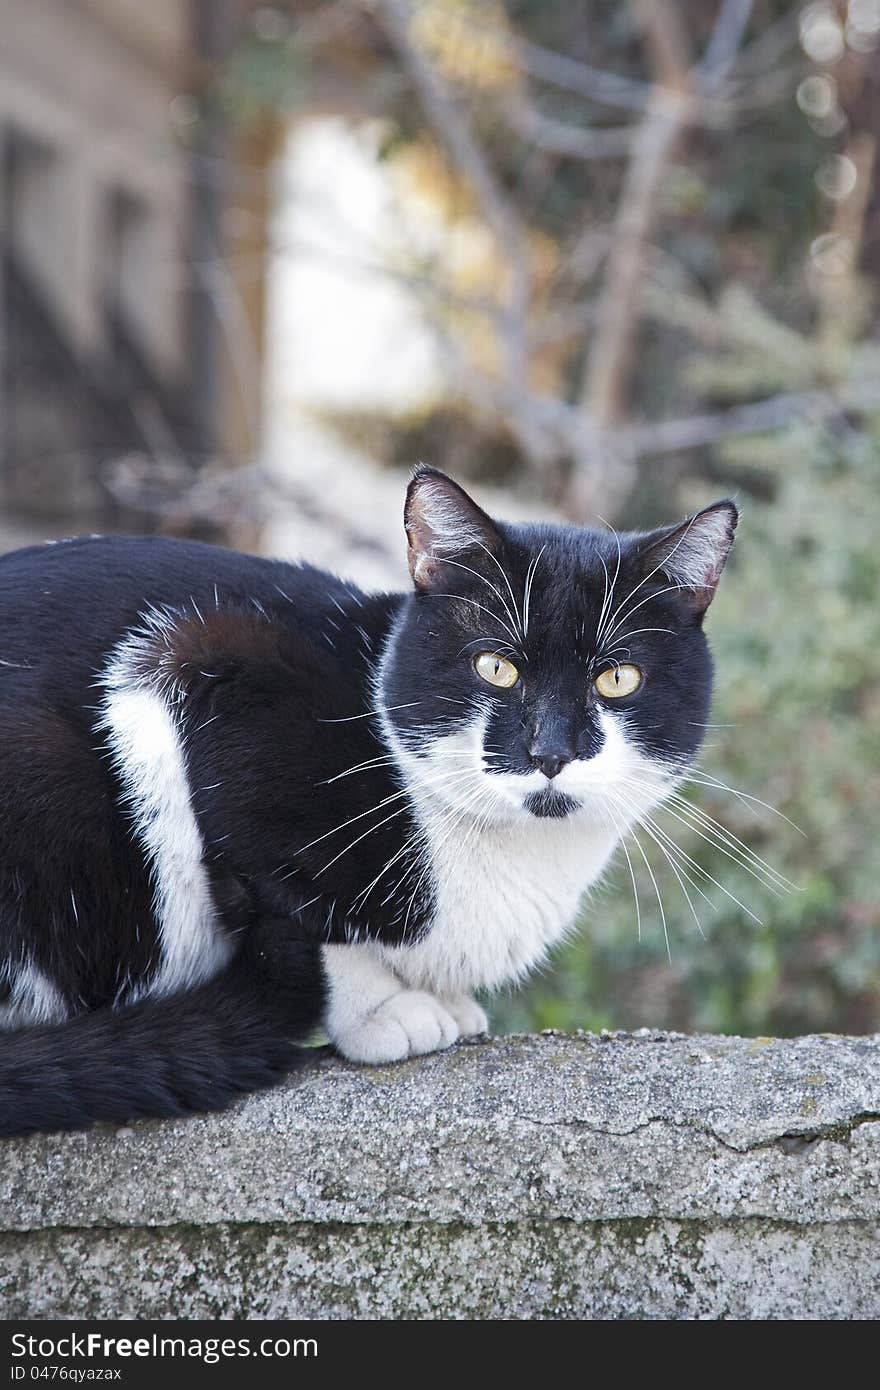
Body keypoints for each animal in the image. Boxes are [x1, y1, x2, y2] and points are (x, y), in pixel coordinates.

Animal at [0, 467, 734, 1139]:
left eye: (618, 679)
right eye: (495, 667)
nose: (550, 751)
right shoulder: (206, 660)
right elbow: (304, 906)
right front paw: (380, 1009)